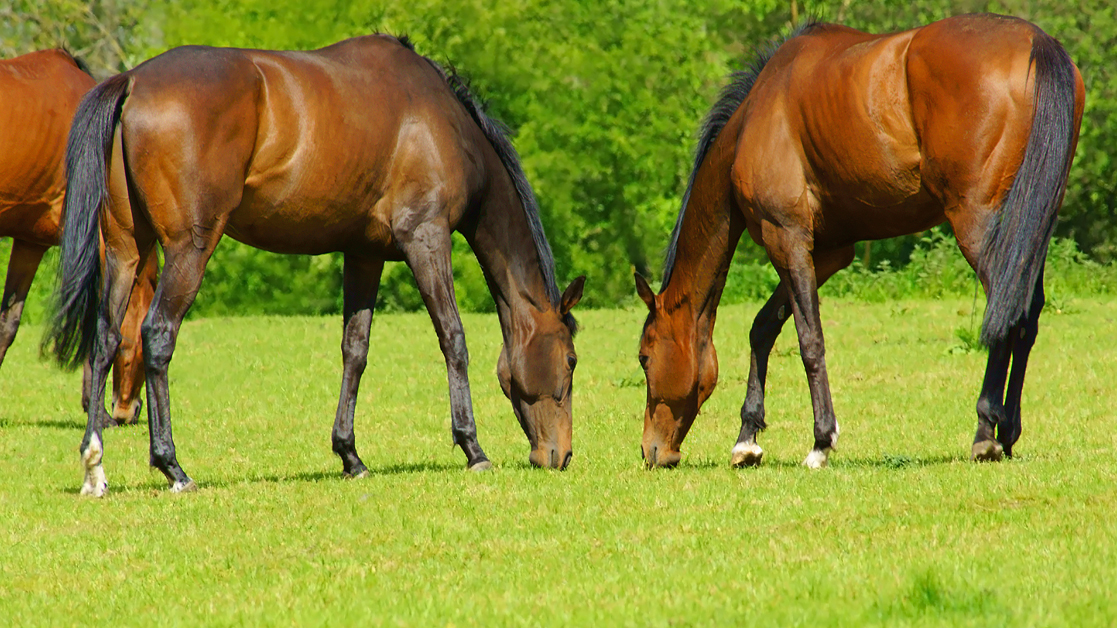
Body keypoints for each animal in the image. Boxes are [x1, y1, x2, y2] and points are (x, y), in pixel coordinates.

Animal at [0, 47, 153, 420]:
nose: (129, 411)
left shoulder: (30, 243)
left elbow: (8, 323)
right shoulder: (101, 244)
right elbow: (100, 322)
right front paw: (96, 410)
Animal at [43, 35, 585, 493]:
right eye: (572, 360)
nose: (559, 456)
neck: (440, 121)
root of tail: (132, 81)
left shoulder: (365, 253)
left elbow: (355, 351)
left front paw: (350, 455)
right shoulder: (426, 239)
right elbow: (453, 338)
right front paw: (473, 447)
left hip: (126, 249)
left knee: (106, 338)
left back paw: (95, 466)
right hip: (187, 250)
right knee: (157, 335)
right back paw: (172, 466)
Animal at [643, 14, 1085, 467]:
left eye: (644, 356)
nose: (653, 451)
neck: (754, 119)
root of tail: (1037, 41)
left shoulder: (786, 236)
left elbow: (809, 339)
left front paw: (821, 440)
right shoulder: (828, 252)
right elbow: (763, 327)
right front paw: (747, 438)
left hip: (981, 227)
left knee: (1005, 311)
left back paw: (985, 431)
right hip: (1030, 230)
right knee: (1026, 315)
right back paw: (1008, 430)